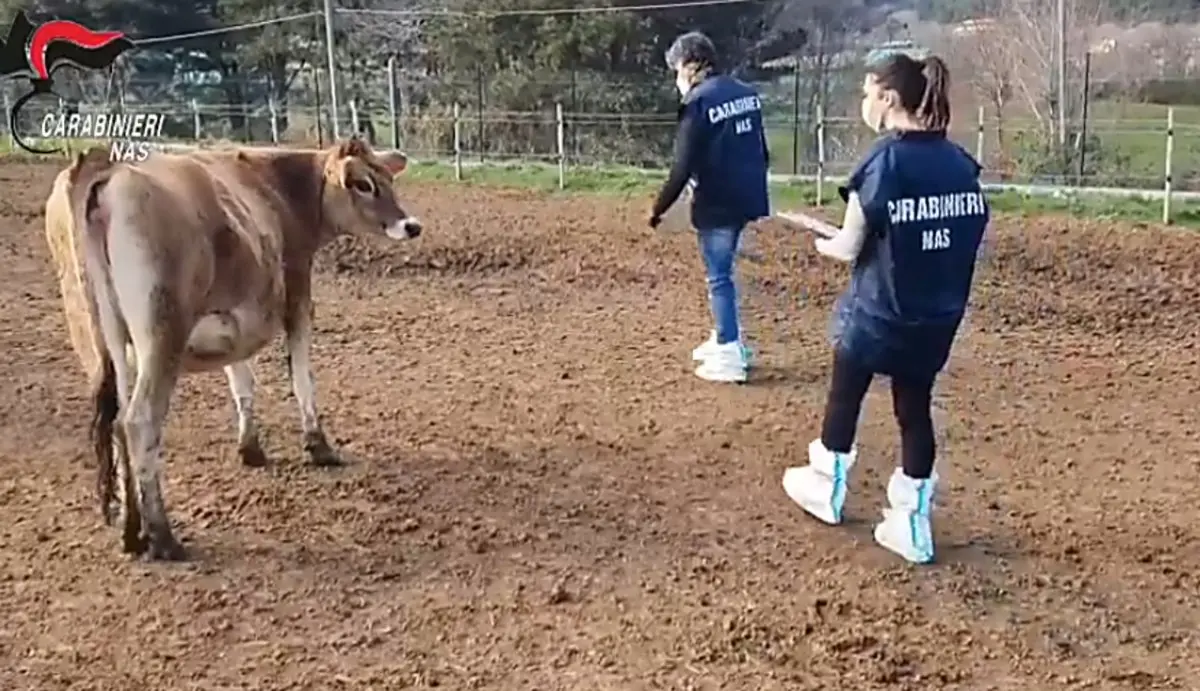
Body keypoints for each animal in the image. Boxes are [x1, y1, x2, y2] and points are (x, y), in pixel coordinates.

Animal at [65, 136, 424, 561]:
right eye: (362, 184)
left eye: (387, 178)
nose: (411, 225)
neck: (277, 188)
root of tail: (108, 178)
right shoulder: (298, 294)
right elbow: (302, 377)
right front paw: (319, 446)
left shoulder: (237, 313)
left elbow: (241, 378)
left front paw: (250, 448)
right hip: (161, 337)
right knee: (139, 422)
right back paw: (164, 537)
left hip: (110, 338)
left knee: (118, 423)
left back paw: (132, 532)